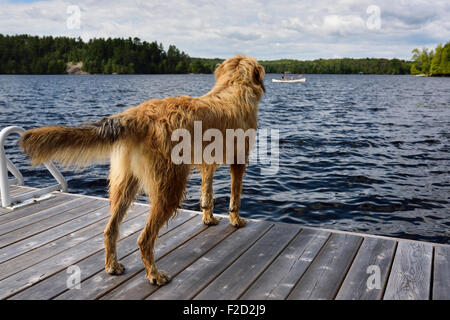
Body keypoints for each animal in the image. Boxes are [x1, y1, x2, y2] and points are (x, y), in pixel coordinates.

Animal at [21, 55, 266, 284]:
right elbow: (235, 196)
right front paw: (236, 221)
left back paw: (112, 265)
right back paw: (154, 275)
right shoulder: (239, 161)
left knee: (110, 229)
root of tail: (136, 116)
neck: (234, 86)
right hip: (170, 187)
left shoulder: (208, 164)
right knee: (144, 238)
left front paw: (208, 218)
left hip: (125, 183)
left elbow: (207, 194)